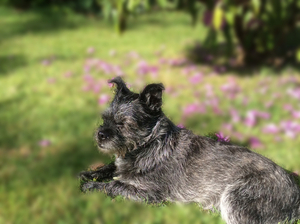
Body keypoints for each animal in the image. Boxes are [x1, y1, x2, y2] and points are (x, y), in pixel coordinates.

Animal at [80, 76, 300, 223]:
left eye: (124, 124)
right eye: (104, 119)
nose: (101, 135)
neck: (149, 145)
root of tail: (295, 193)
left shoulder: (149, 194)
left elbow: (114, 185)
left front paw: (90, 187)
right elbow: (110, 168)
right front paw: (91, 173)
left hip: (236, 199)